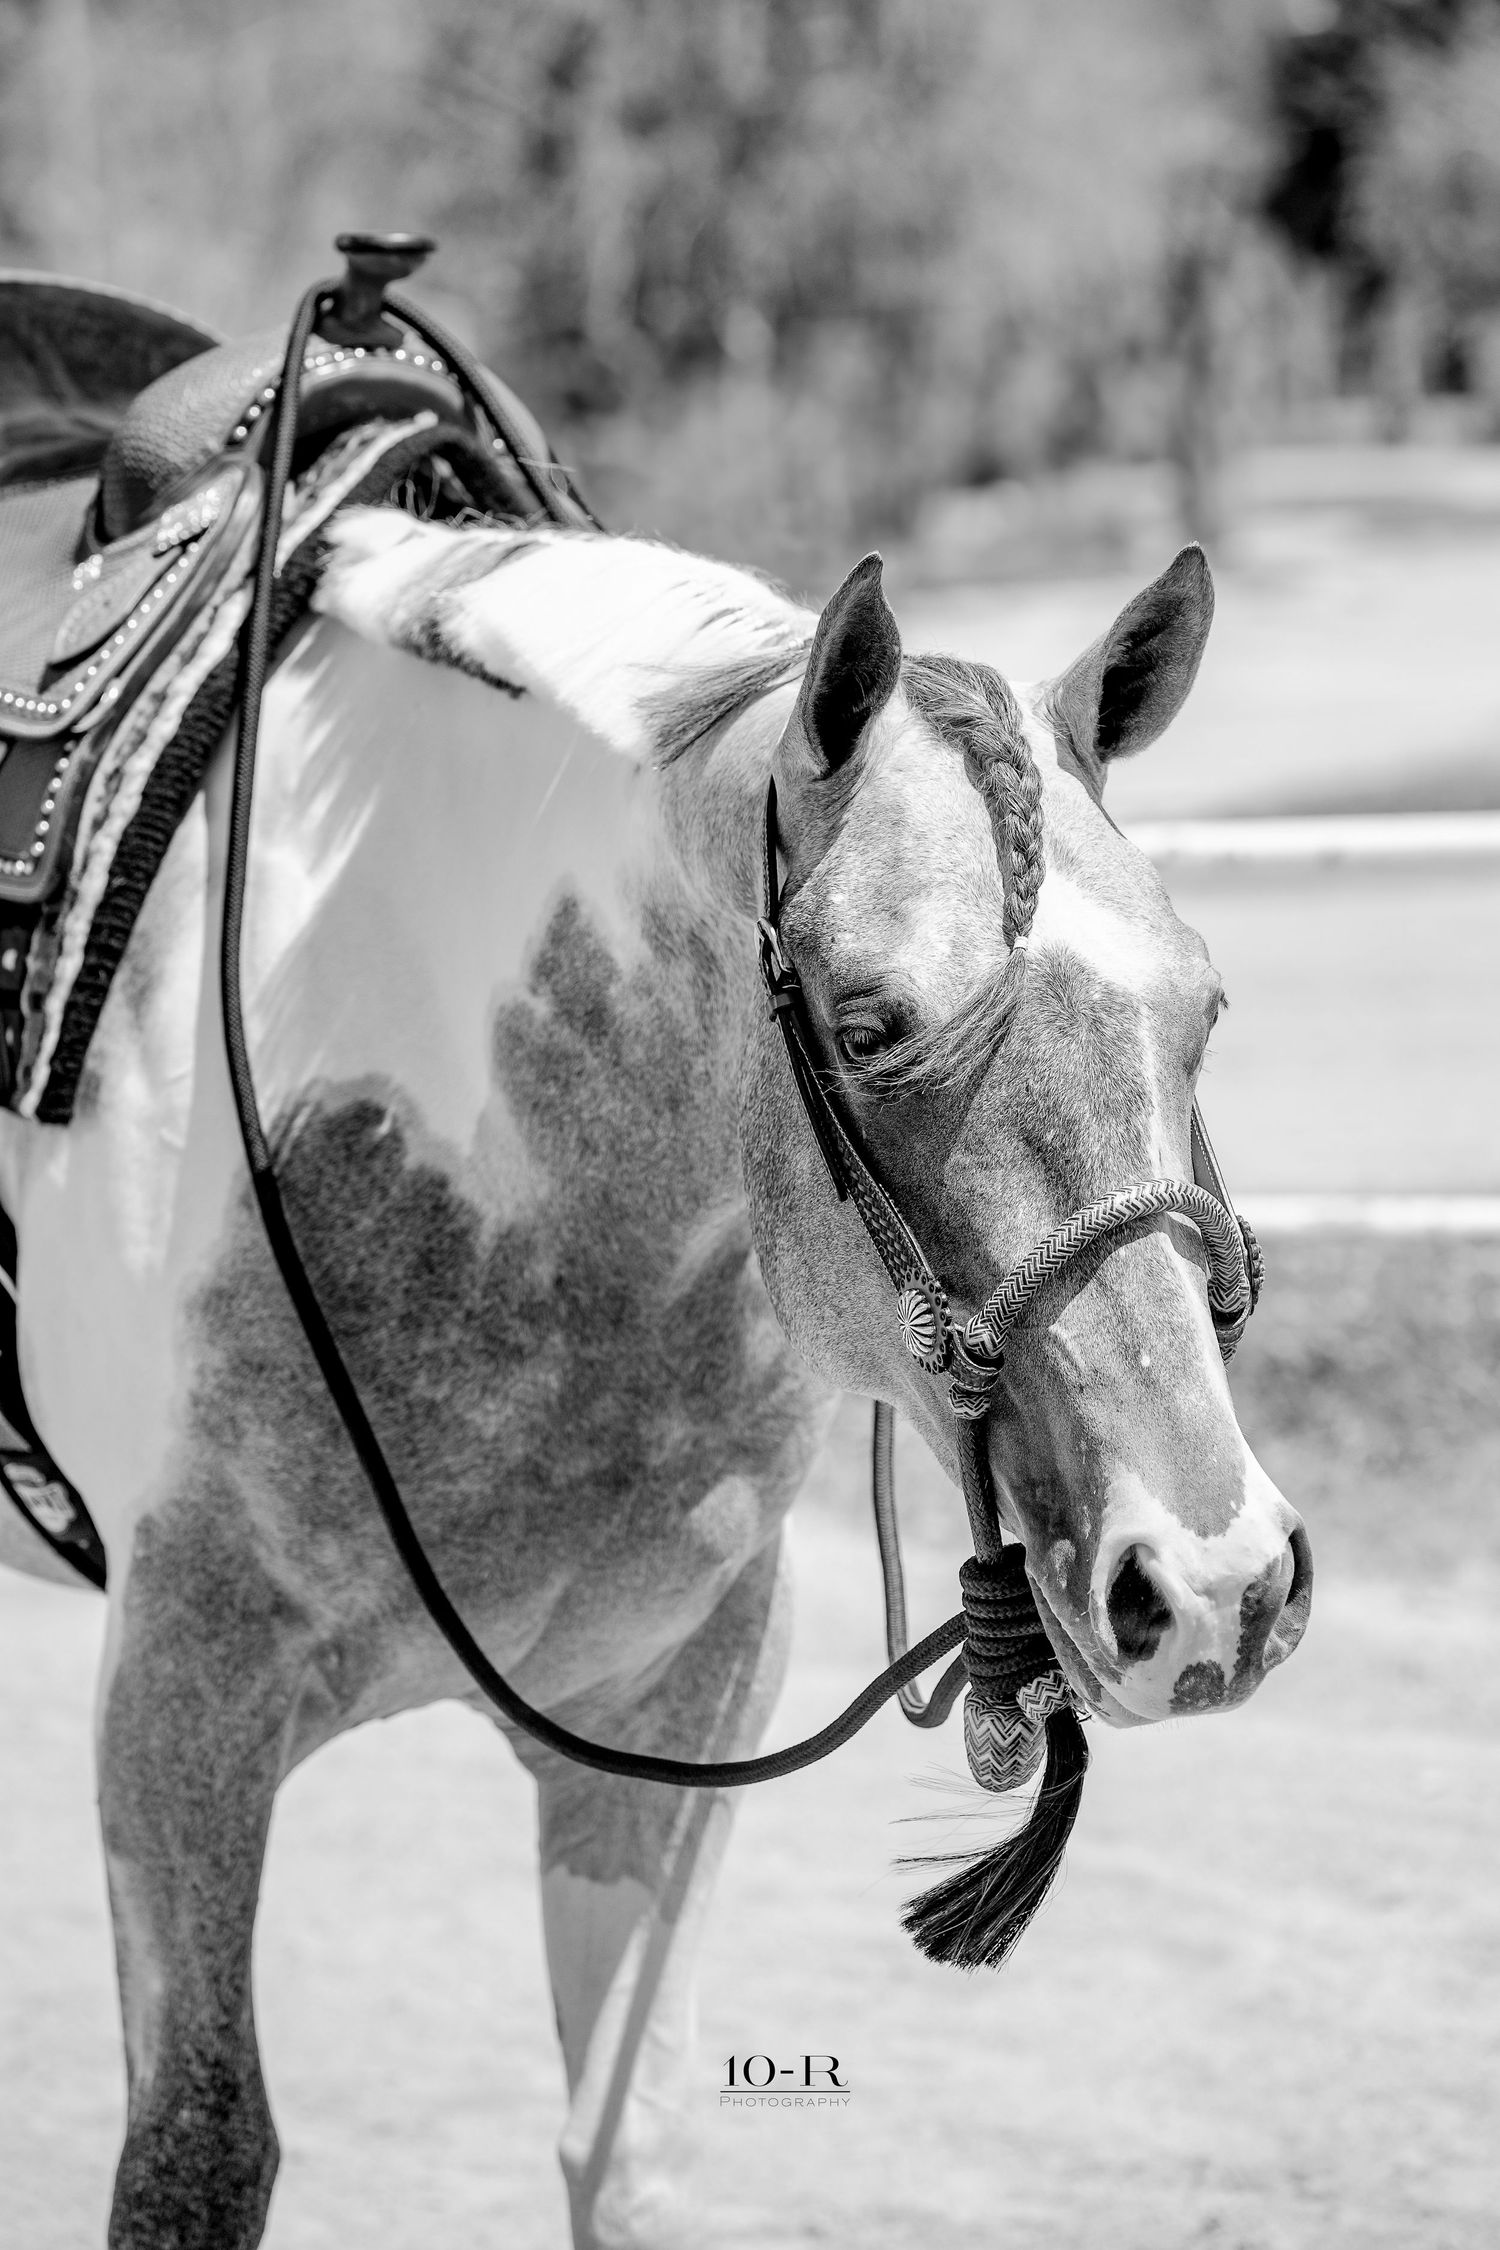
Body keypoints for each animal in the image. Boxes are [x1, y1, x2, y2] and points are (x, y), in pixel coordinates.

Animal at [0, 512, 1311, 2248]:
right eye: (867, 1024)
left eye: (1204, 1003)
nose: (1218, 1581)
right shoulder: (178, 1697)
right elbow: (199, 2150)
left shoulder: (675, 1717)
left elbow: (625, 2154)